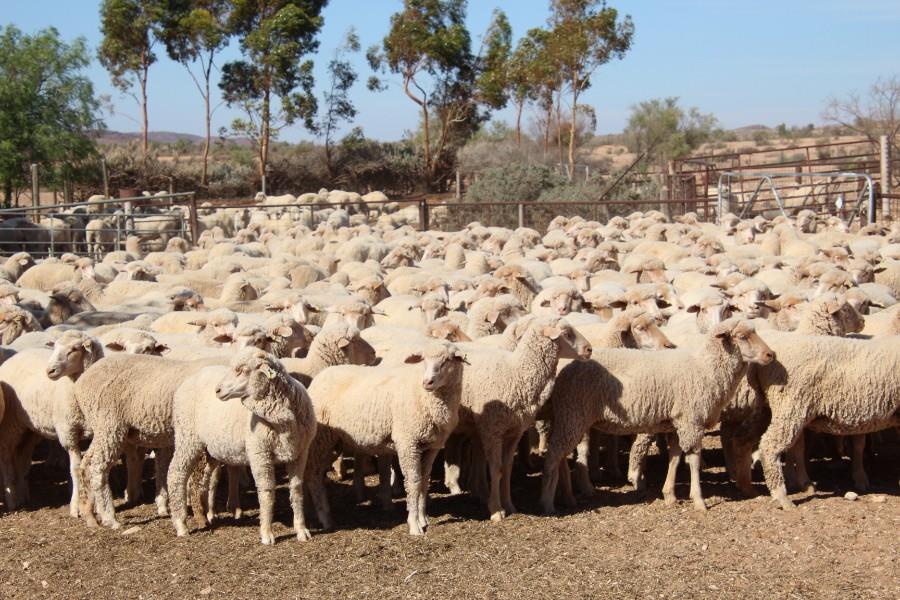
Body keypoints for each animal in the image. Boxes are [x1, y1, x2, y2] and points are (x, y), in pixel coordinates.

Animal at [167, 349, 316, 544]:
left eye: (242, 370)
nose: (218, 390)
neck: (283, 420)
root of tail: (189, 380)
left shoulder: (300, 452)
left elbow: (297, 490)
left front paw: (301, 530)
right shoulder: (260, 453)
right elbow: (267, 492)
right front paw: (266, 533)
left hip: (211, 447)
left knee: (204, 479)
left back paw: (207, 515)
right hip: (187, 437)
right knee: (176, 473)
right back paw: (181, 524)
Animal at [305, 340, 467, 534]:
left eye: (448, 360)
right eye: (423, 360)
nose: (427, 382)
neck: (425, 397)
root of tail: (320, 376)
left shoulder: (432, 446)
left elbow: (424, 481)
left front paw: (423, 518)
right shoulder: (408, 443)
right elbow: (414, 481)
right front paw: (414, 524)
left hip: (335, 440)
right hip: (321, 438)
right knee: (313, 475)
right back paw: (325, 518)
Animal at [539, 318, 774, 514]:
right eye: (742, 336)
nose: (770, 355)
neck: (705, 368)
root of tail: (564, 370)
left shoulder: (677, 423)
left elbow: (675, 458)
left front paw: (669, 495)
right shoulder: (691, 421)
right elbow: (694, 460)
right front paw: (699, 500)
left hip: (570, 418)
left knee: (560, 454)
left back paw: (567, 497)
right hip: (573, 414)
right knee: (554, 454)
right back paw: (548, 502)